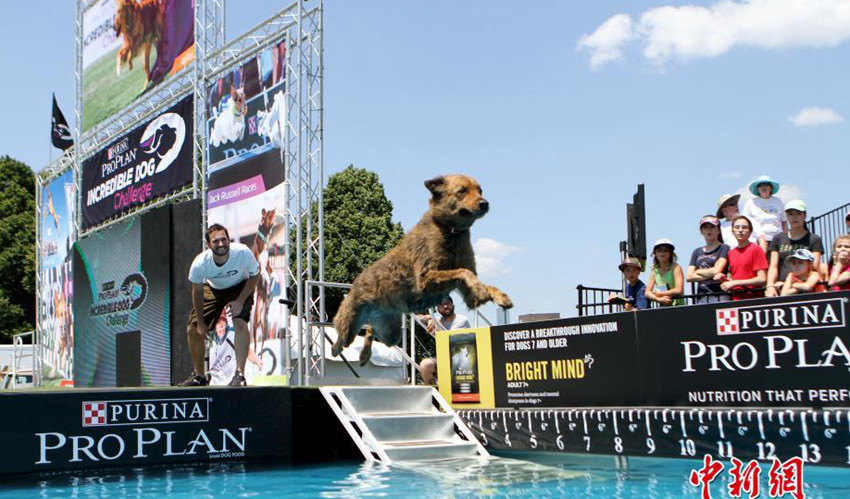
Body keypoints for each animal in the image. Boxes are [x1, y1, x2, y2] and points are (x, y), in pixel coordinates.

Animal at [330, 174, 510, 366]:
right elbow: (462, 272)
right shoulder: (426, 278)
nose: (485, 203)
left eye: (480, 190)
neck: (450, 231)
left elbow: (479, 282)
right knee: (342, 339)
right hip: (350, 325)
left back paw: (365, 355)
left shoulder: (467, 292)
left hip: (391, 334)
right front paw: (482, 289)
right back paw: (337, 349)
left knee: (372, 330)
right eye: (462, 191)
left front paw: (498, 296)